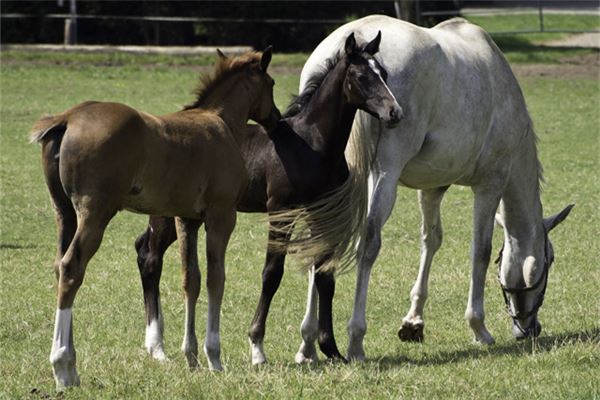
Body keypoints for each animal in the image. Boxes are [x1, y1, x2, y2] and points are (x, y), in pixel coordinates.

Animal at [296, 15, 572, 360]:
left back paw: (307, 343)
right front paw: (478, 327)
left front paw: (414, 322)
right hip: (384, 175)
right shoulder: (490, 184)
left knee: (318, 243)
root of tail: (349, 40)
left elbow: (431, 241)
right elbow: (480, 250)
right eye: (550, 260)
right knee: (369, 243)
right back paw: (355, 339)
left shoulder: (433, 187)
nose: (529, 329)